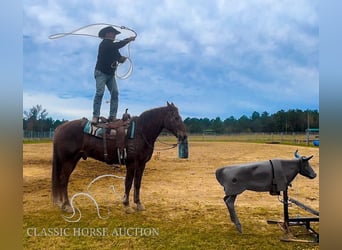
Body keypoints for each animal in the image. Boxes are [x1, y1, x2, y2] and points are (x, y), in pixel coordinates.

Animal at [51, 101, 187, 213]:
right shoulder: (131, 163)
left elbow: (137, 183)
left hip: (73, 160)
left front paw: (138, 204)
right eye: (176, 118)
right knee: (63, 179)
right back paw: (67, 206)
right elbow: (128, 183)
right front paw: (127, 205)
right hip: (68, 160)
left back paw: (63, 204)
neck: (140, 132)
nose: (184, 136)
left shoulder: (142, 164)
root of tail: (60, 128)